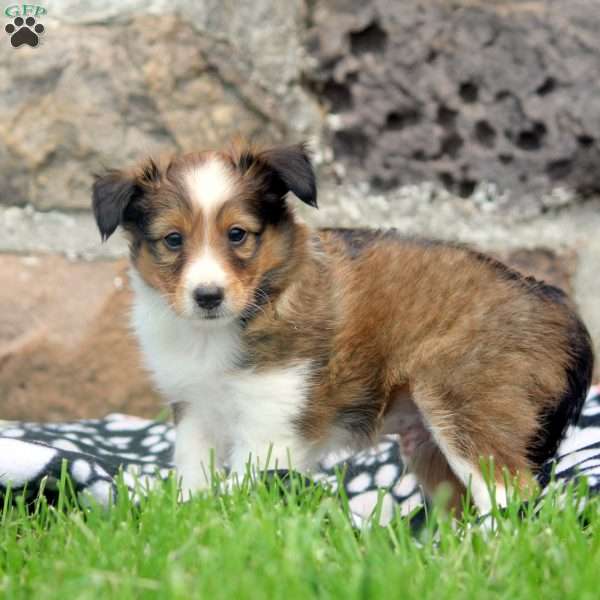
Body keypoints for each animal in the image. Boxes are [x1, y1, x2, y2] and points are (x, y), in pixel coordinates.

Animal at [91, 139, 592, 510]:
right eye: (173, 240)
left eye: (237, 234)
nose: (207, 297)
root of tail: (557, 303)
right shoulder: (194, 411)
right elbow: (194, 479)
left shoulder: (271, 423)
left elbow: (242, 488)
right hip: (431, 442)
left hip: (464, 401)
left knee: (512, 498)